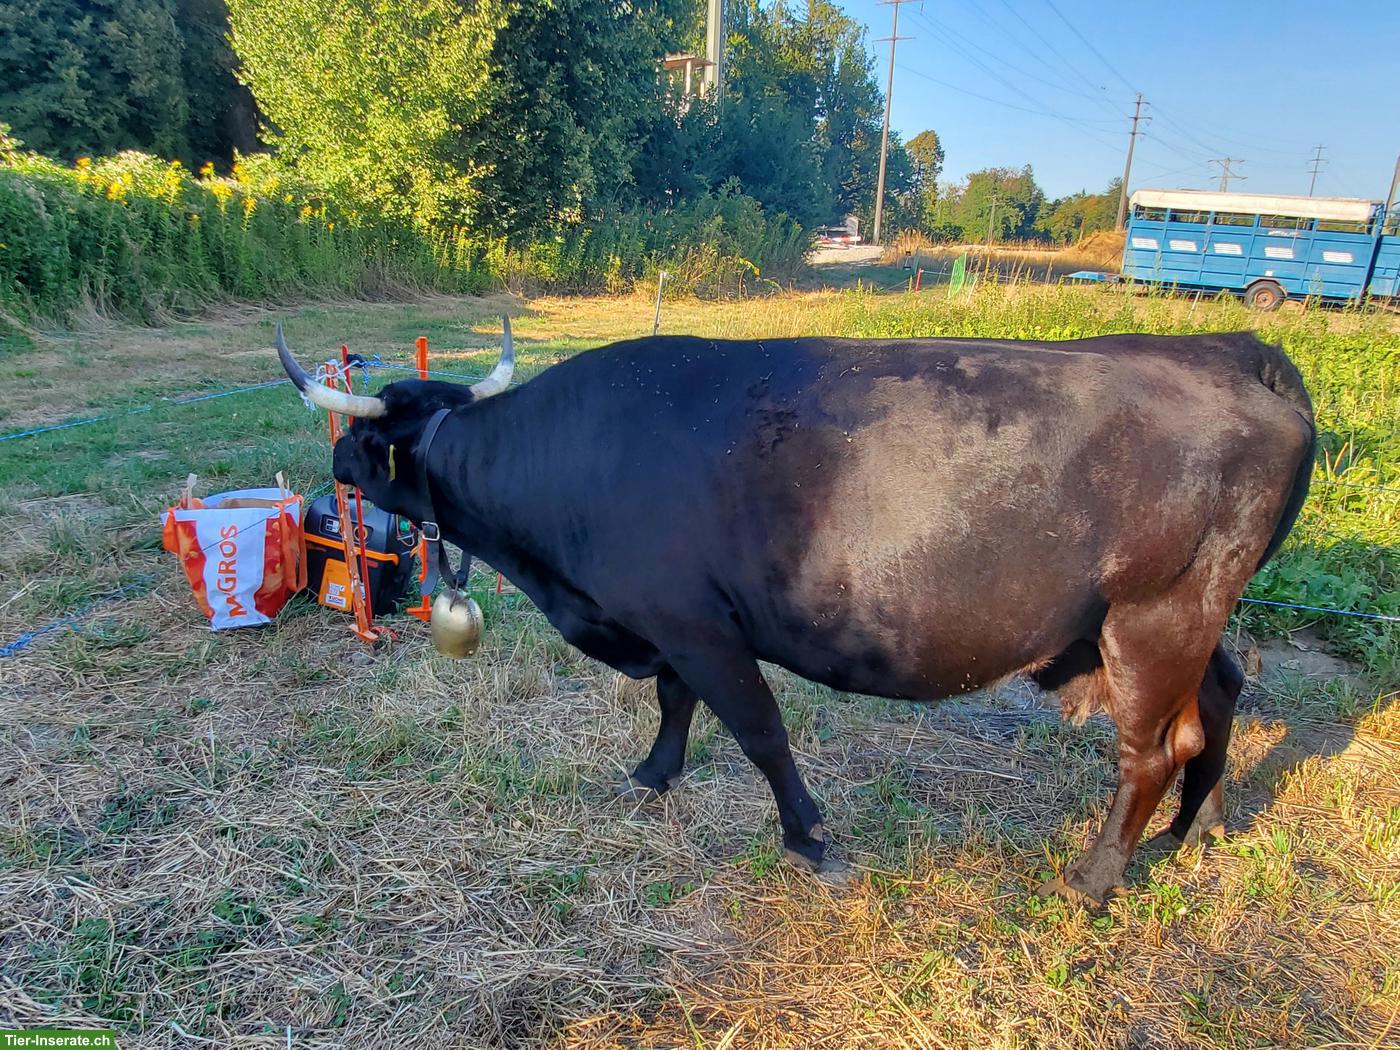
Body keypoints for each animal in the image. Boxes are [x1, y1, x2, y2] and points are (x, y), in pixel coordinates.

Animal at [277, 320, 1314, 903]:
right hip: (1194, 613)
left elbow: (761, 733)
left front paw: (809, 838)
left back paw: (1093, 881)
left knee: (1151, 750)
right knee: (1220, 698)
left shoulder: (698, 627)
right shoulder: (666, 626)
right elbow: (675, 706)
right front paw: (653, 776)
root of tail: (1232, 352)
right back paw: (1202, 825)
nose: (332, 461)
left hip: (1154, 614)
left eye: (368, 442)